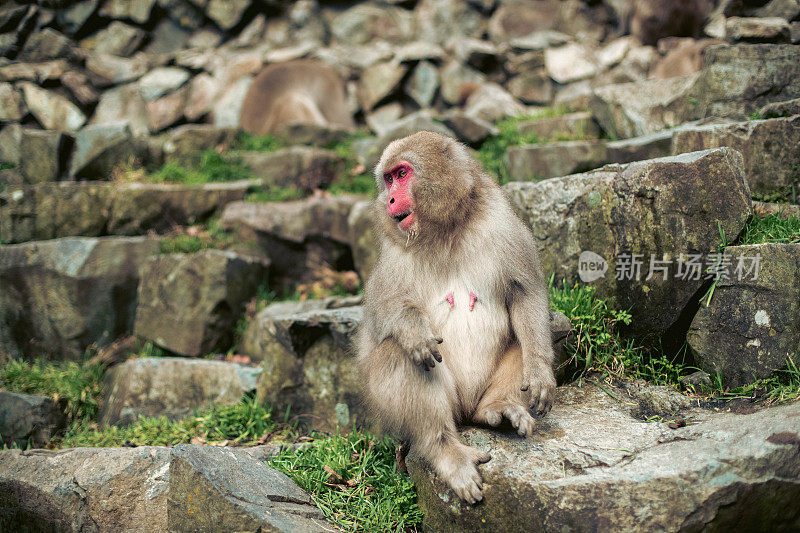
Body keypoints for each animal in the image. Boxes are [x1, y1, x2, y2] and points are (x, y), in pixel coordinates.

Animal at [356, 130, 556, 502]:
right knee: (398, 354)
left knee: (523, 337)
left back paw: (499, 408)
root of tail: (465, 412)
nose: (389, 199)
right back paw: (445, 450)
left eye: (402, 174)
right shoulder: (393, 254)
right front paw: (413, 329)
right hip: (432, 411)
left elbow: (525, 292)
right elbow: (383, 316)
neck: (446, 231)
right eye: (387, 180)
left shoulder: (502, 224)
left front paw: (538, 371)